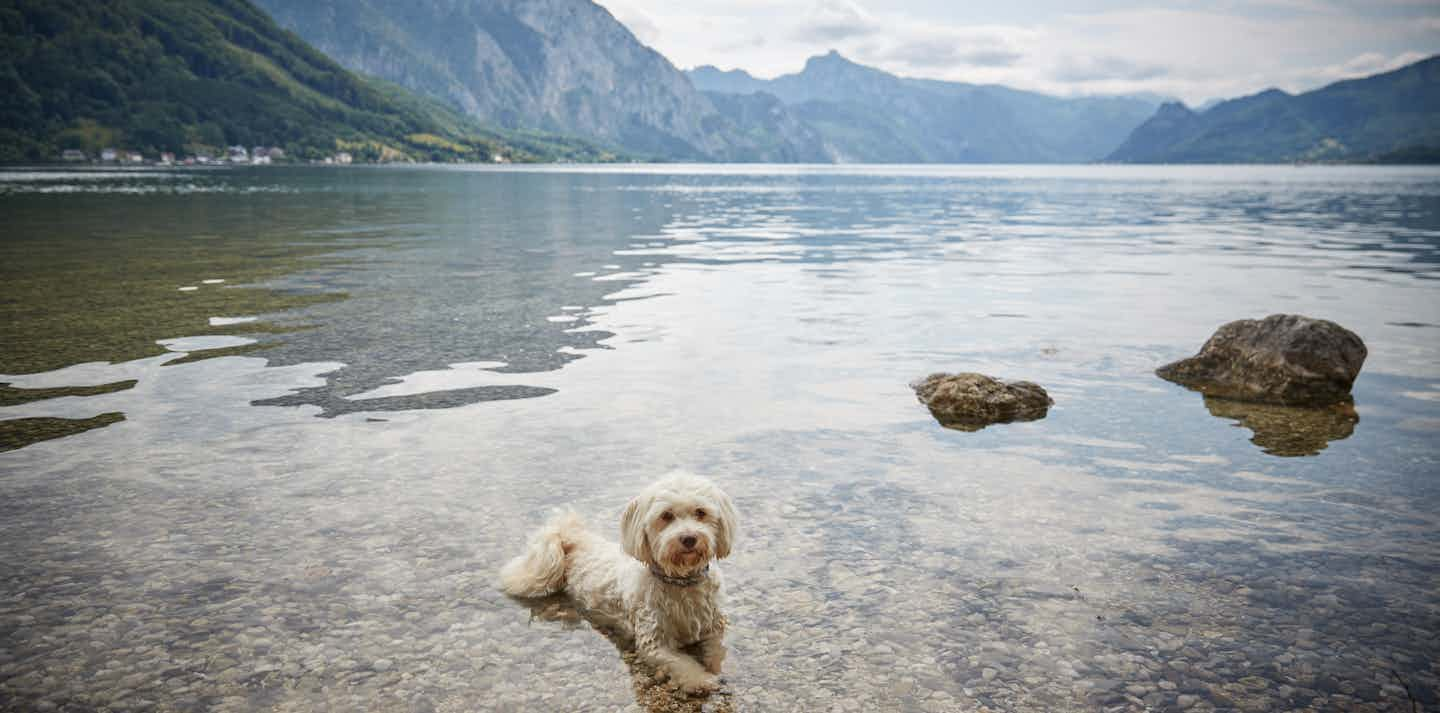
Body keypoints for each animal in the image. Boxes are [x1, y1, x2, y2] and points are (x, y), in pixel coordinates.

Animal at [501, 472, 737, 694]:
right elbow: (681, 663)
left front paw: (718, 668)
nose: (689, 538)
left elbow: (717, 650)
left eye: (700, 512)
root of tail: (574, 540)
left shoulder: (714, 626)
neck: (682, 581)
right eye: (666, 516)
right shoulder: (654, 642)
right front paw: (700, 680)